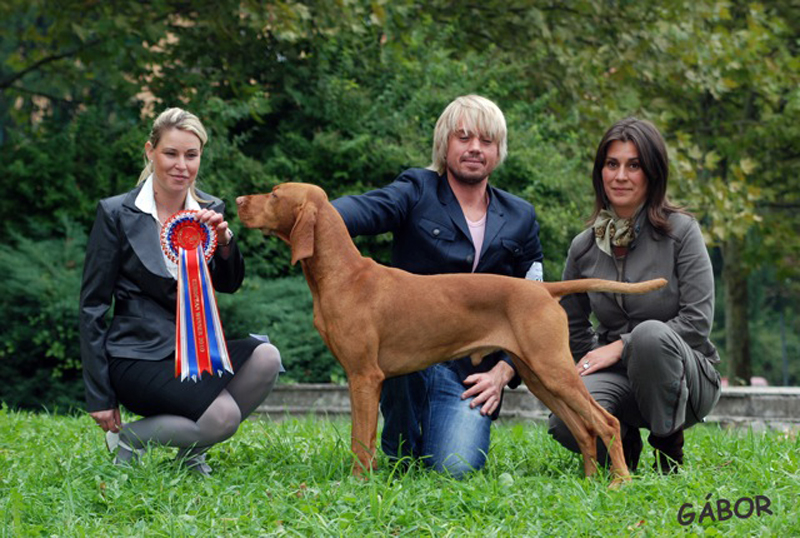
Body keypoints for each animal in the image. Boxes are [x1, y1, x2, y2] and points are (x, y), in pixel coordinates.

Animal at [239, 183, 668, 482]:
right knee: (583, 429)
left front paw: (358, 484)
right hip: (538, 374)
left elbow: (361, 441)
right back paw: (589, 481)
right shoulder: (361, 378)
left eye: (274, 194)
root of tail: (543, 288)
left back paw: (619, 482)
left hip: (554, 369)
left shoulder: (364, 376)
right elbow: (363, 439)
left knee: (606, 422)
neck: (344, 276)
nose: (240, 199)